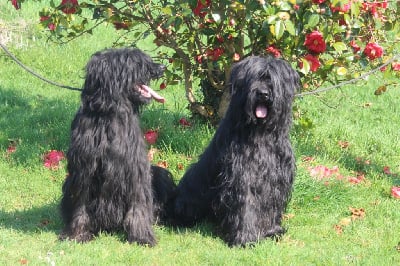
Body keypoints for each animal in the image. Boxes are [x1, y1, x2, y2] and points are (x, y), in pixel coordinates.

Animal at [60, 48, 176, 247]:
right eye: (136, 62)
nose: (162, 67)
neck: (108, 113)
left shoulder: (135, 169)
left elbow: (138, 203)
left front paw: (141, 236)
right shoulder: (84, 170)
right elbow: (81, 203)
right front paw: (77, 234)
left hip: (158, 173)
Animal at [173, 56, 298, 247]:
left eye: (272, 80)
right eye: (255, 77)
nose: (263, 94)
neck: (260, 132)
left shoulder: (276, 178)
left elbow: (271, 205)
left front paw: (271, 231)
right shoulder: (242, 176)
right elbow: (245, 205)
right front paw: (245, 238)